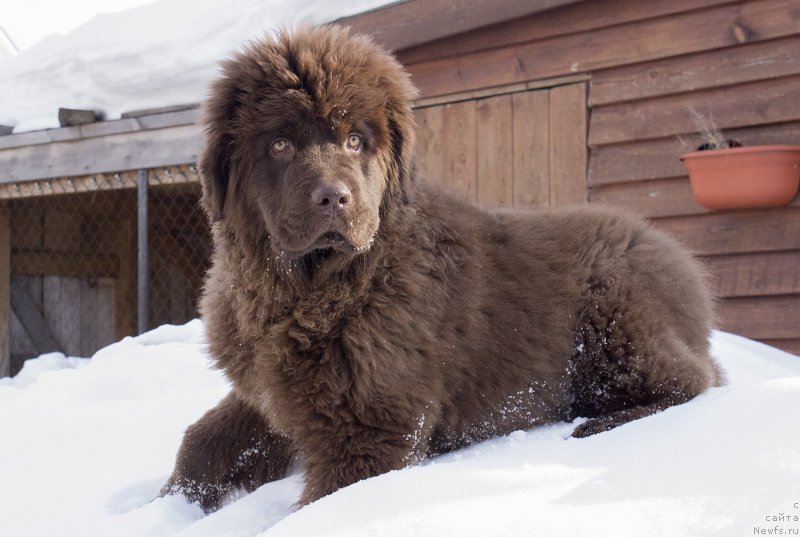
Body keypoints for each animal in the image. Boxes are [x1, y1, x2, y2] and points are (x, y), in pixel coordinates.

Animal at [161, 25, 720, 510]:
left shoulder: (369, 432)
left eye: (355, 140)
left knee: (694, 381)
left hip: (614, 327)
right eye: (279, 145)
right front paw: (169, 502)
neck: (317, 292)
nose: (334, 198)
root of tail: (673, 252)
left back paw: (596, 425)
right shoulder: (269, 392)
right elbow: (199, 441)